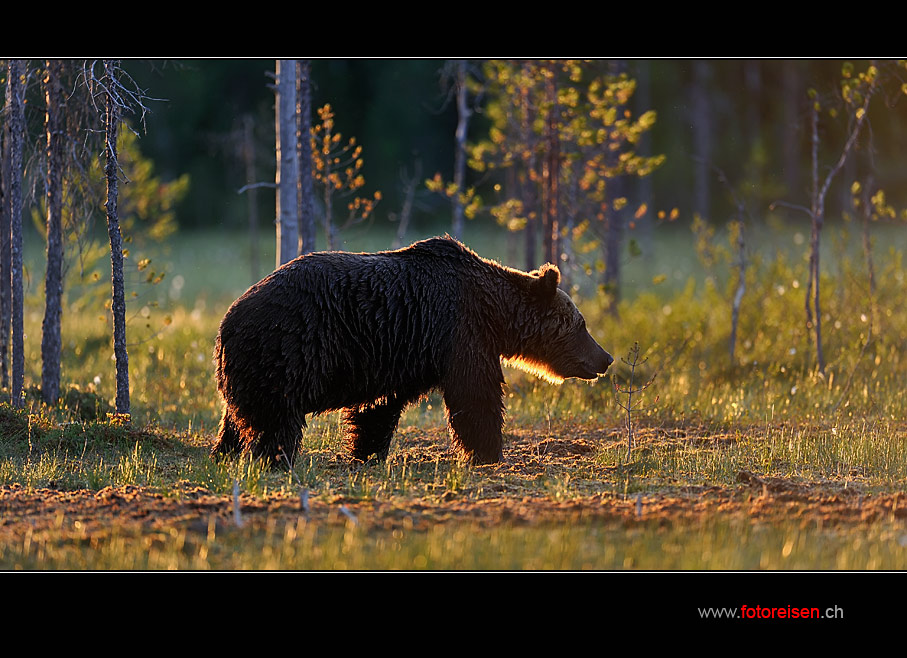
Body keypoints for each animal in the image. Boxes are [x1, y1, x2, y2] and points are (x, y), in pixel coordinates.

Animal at [211, 236, 612, 466]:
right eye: (581, 324)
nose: (605, 358)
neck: (494, 313)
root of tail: (227, 320)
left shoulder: (400, 353)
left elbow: (378, 408)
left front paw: (367, 452)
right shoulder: (459, 333)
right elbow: (476, 395)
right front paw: (490, 454)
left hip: (251, 366)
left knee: (235, 418)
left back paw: (224, 453)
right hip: (287, 348)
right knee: (276, 419)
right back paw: (275, 458)